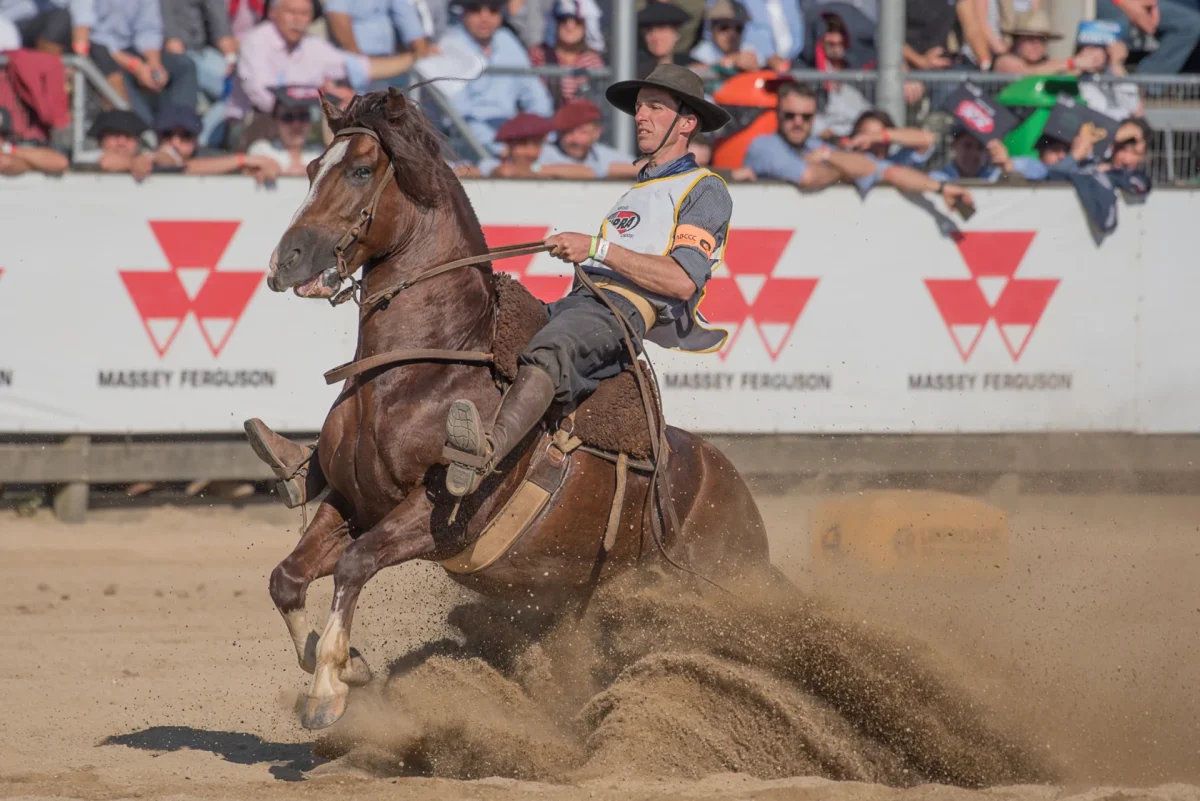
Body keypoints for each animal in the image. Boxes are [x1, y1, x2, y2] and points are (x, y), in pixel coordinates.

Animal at [262, 87, 771, 731]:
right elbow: (287, 578)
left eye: (359, 170)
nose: (287, 261)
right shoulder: (351, 501)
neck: (423, 366)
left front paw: (330, 686)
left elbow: (354, 564)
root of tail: (736, 492)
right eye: (310, 168)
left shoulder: (438, 516)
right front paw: (344, 662)